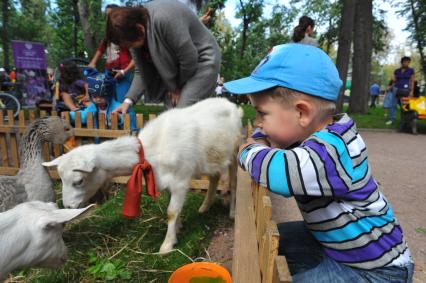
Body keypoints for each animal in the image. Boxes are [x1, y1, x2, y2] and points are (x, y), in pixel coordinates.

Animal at [44, 98, 243, 254]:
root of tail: (232, 104)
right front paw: (178, 229)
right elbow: (173, 210)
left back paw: (233, 213)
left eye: (78, 181)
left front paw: (167, 245)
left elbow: (171, 212)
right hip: (213, 157)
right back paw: (204, 207)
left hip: (234, 153)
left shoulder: (180, 181)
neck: (150, 151)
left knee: (234, 183)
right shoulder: (165, 182)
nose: (68, 206)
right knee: (214, 178)